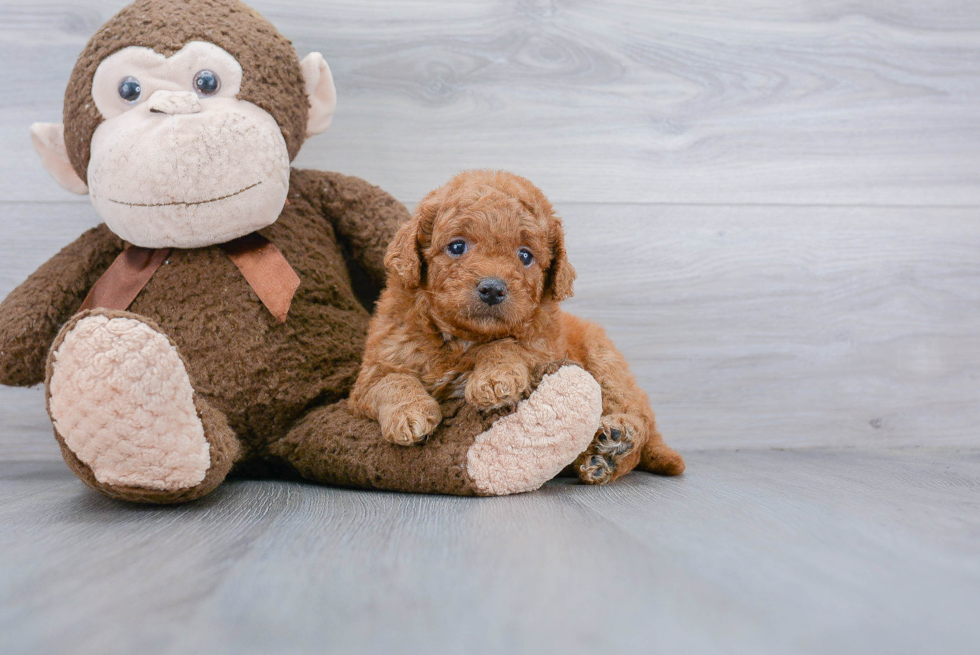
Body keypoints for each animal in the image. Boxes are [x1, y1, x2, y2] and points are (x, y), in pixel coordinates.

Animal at [348, 172, 684, 484]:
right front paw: (408, 414)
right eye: (457, 246)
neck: (464, 339)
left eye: (525, 255)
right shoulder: (371, 374)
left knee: (639, 421)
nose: (493, 289)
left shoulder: (544, 348)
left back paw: (614, 448)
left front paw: (494, 378)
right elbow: (392, 381)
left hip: (606, 361)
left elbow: (508, 345)